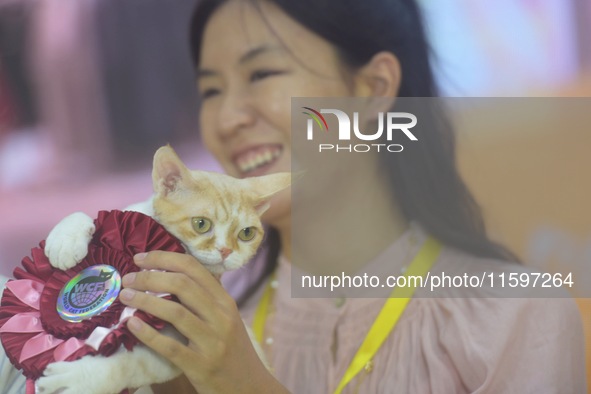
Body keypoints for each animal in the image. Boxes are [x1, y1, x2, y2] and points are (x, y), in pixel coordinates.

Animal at [35, 145, 292, 394]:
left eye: (246, 234)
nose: (226, 251)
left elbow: (130, 364)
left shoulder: (177, 345)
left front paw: (81, 377)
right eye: (201, 224)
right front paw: (65, 240)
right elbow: (86, 215)